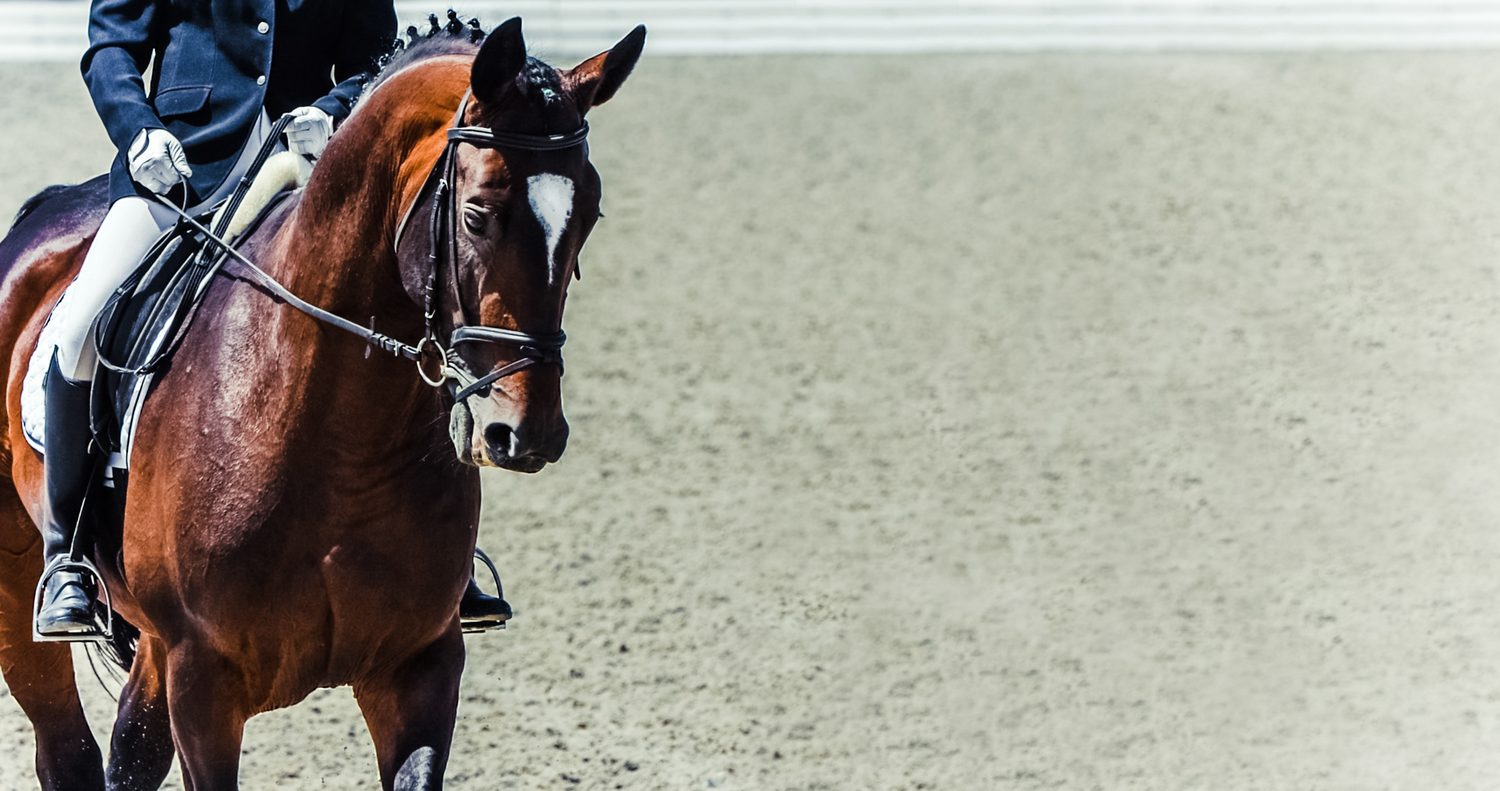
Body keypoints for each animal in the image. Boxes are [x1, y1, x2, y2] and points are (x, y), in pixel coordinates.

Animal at [0, 18, 639, 791]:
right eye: (477, 214)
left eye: (590, 214)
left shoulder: (419, 665)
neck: (339, 439)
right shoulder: (200, 678)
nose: (527, 432)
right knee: (68, 748)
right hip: (22, 589)